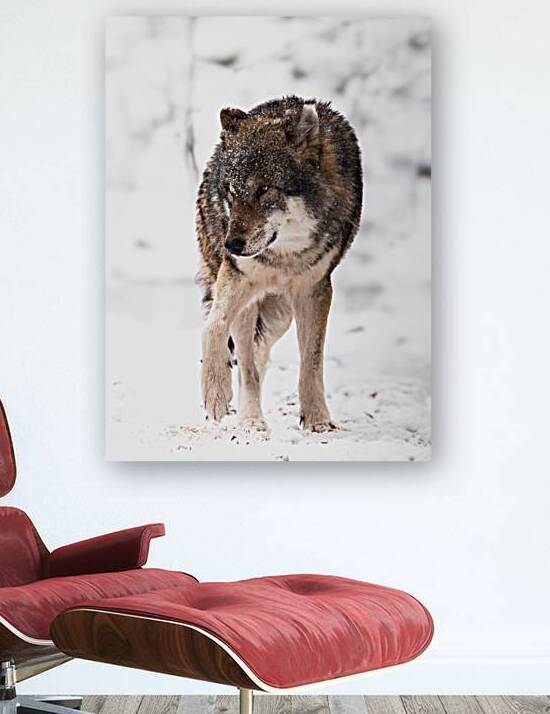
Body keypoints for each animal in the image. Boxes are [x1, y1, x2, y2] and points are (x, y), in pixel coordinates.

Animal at [195, 95, 362, 432]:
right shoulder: (236, 275)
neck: (285, 255)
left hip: (280, 316)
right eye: (231, 191)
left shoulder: (314, 291)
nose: (231, 245)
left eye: (264, 189)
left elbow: (311, 361)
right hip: (249, 303)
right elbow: (214, 327)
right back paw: (250, 421)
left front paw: (317, 420)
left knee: (258, 357)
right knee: (246, 363)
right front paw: (215, 392)